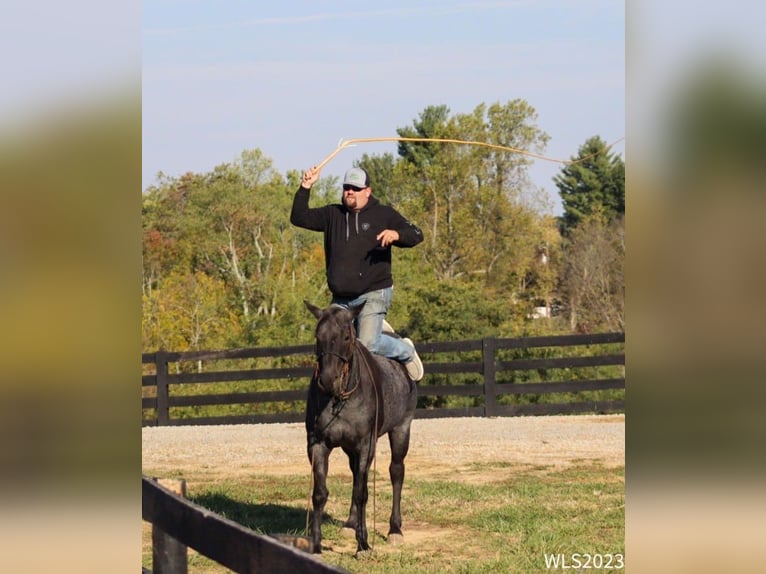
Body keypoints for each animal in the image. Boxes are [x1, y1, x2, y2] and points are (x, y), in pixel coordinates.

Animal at [304, 302, 420, 560]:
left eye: (346, 337)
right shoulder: (317, 444)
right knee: (356, 474)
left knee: (396, 472)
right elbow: (320, 493)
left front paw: (363, 545)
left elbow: (361, 493)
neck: (340, 398)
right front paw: (316, 545)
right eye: (317, 336)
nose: (328, 380)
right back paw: (350, 524)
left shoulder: (366, 446)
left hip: (401, 429)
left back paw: (395, 529)